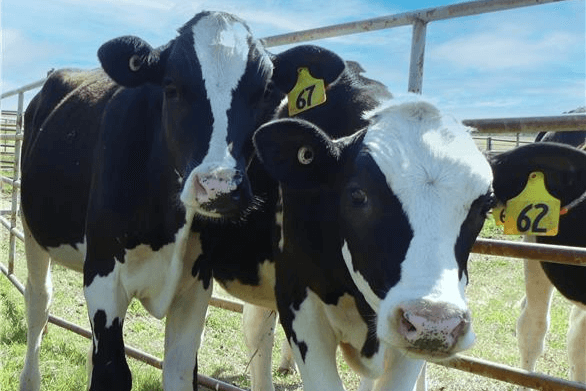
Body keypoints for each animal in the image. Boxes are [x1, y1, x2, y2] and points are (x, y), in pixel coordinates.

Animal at [18, 11, 346, 391]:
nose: (218, 187)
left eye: (265, 92)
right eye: (171, 88)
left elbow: (180, 370)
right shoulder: (103, 275)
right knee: (39, 301)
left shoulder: (195, 287)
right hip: (32, 227)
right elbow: (112, 372)